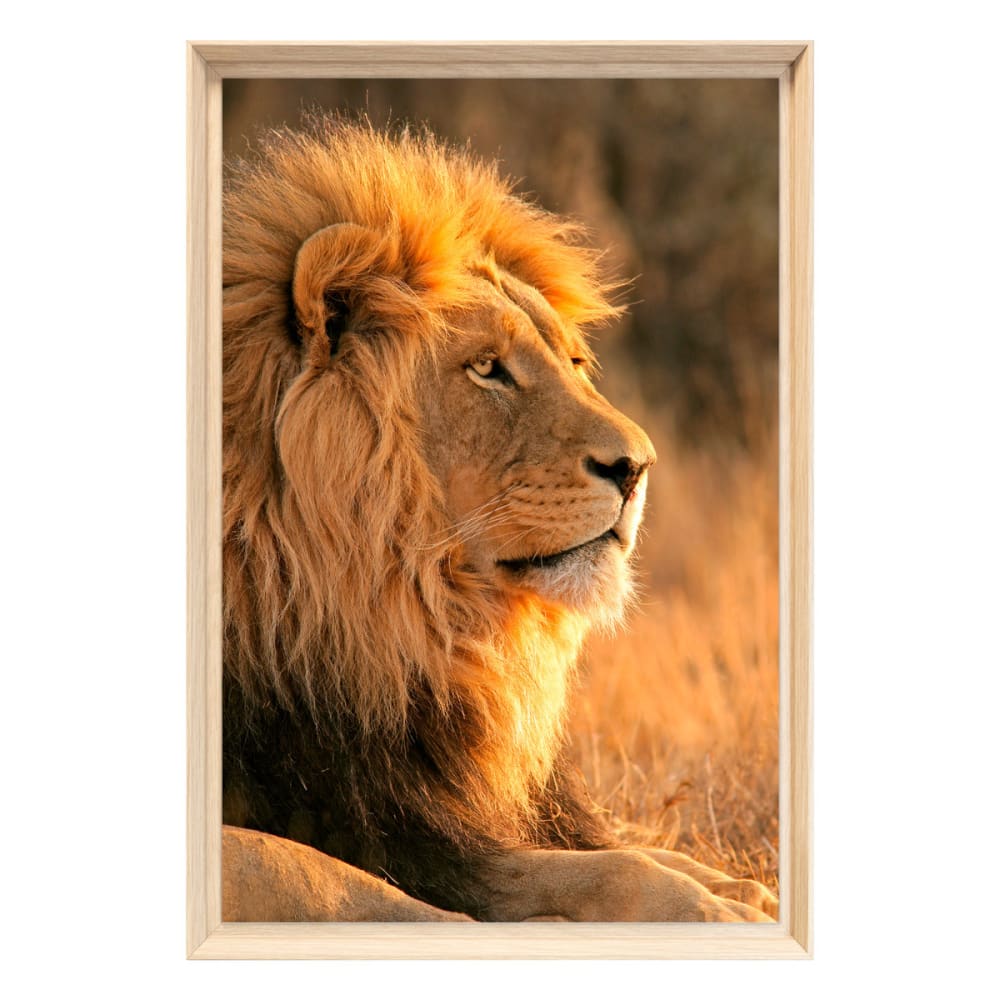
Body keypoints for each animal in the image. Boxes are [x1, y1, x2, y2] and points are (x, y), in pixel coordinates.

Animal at [221, 118, 777, 923]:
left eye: (573, 361)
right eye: (487, 368)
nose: (639, 466)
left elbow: (620, 850)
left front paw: (732, 886)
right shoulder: (387, 827)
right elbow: (336, 877)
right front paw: (714, 909)